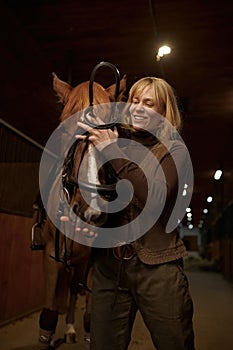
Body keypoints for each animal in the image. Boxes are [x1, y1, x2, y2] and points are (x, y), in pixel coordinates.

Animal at [37, 67, 127, 348]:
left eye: (112, 129)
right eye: (65, 125)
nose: (91, 209)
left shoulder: (90, 262)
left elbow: (90, 318)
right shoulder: (51, 258)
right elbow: (47, 317)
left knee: (75, 292)